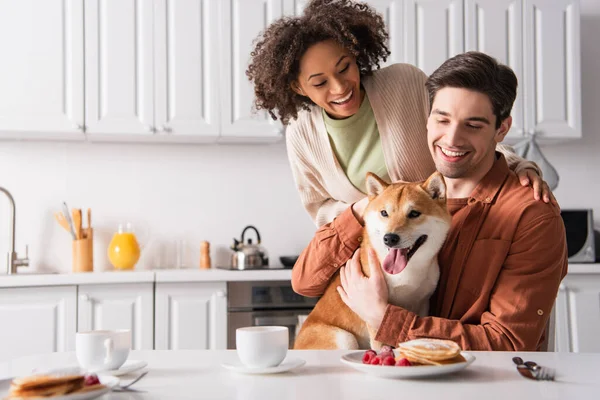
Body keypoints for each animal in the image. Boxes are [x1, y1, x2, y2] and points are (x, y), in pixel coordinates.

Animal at [292, 172, 452, 350]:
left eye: (414, 214)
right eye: (384, 213)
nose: (389, 238)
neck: (407, 272)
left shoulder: (422, 304)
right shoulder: (374, 320)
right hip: (344, 337)